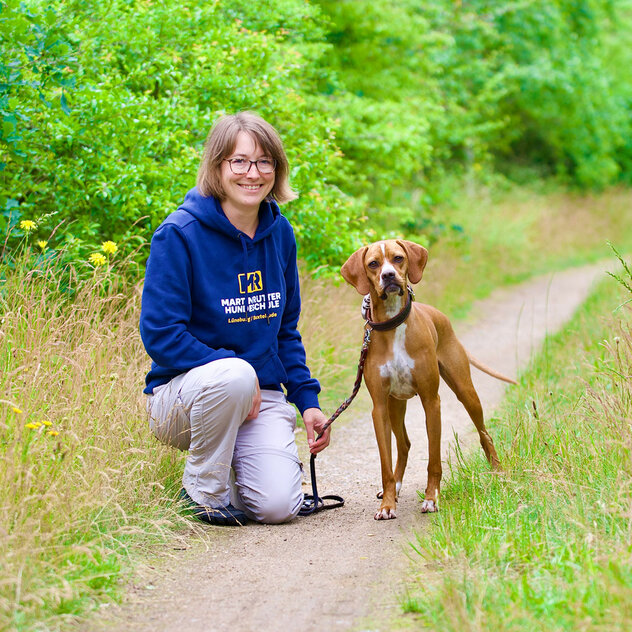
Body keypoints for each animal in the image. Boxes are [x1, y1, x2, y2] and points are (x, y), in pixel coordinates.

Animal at [340, 239, 512, 520]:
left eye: (398, 258)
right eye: (373, 264)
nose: (389, 275)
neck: (392, 325)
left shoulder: (431, 401)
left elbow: (433, 459)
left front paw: (432, 498)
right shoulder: (379, 408)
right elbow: (385, 464)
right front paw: (387, 504)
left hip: (466, 392)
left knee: (484, 433)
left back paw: (497, 471)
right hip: (395, 406)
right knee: (404, 445)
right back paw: (396, 487)